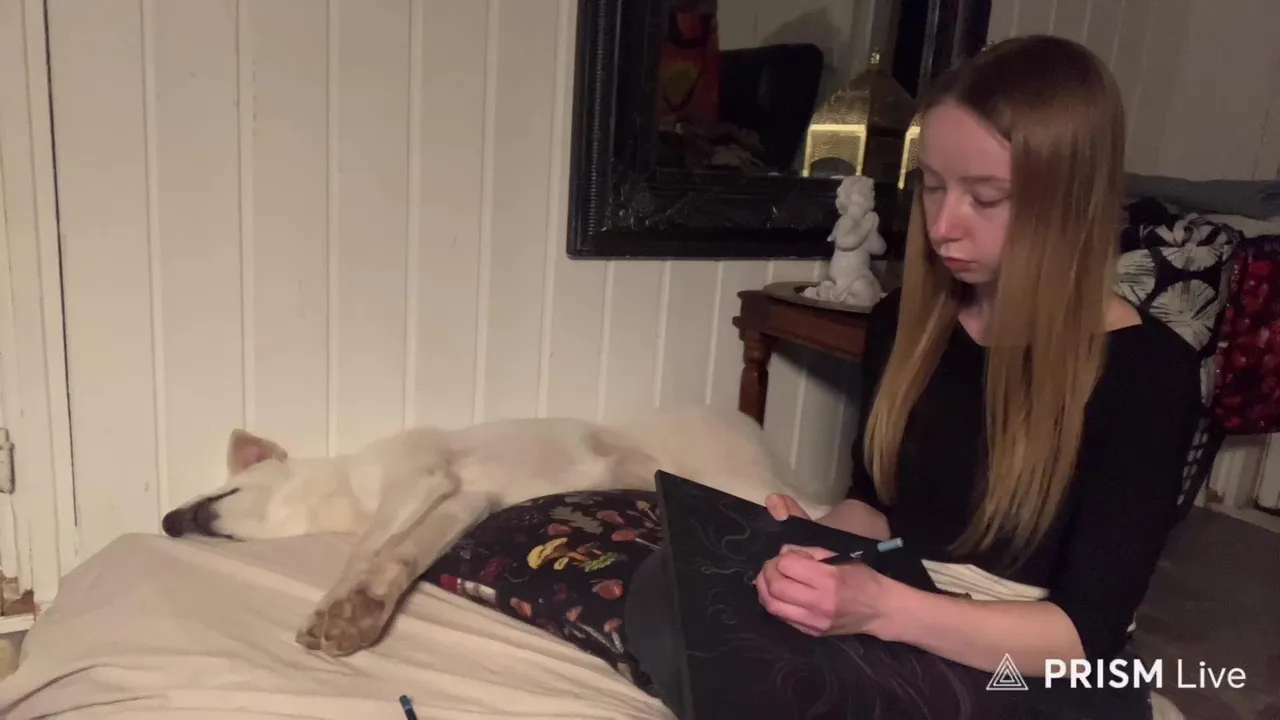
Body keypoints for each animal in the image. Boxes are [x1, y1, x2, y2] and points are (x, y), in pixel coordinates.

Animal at [160, 405, 796, 657]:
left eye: (220, 495)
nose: (166, 522)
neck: (352, 496)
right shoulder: (464, 499)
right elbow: (400, 556)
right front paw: (366, 609)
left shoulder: (422, 479)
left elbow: (366, 551)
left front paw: (335, 609)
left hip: (731, 479)